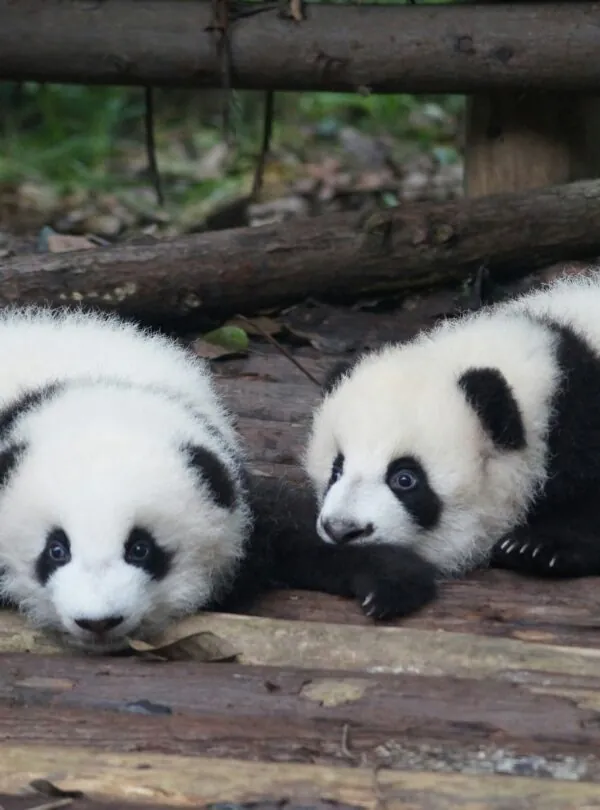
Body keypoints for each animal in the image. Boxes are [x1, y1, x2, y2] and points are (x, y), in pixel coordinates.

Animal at [0, 307, 435, 652]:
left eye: (141, 549)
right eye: (56, 551)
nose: (98, 622)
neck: (95, 389)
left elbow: (293, 530)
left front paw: (390, 581)